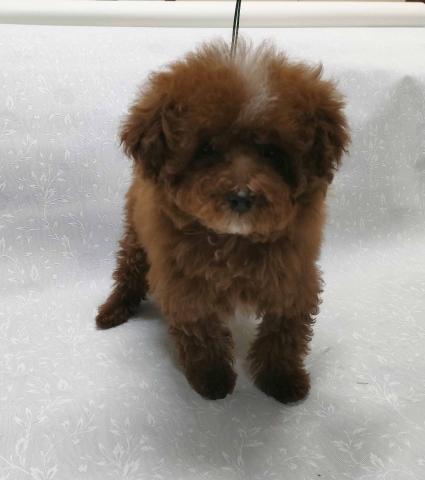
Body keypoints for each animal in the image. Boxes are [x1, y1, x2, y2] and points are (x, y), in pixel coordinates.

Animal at [96, 40, 349, 402]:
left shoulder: (293, 276)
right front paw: (212, 378)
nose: (242, 197)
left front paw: (282, 379)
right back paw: (114, 310)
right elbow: (201, 333)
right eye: (207, 149)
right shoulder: (185, 284)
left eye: (272, 152)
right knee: (128, 269)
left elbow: (285, 331)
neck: (234, 239)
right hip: (134, 236)